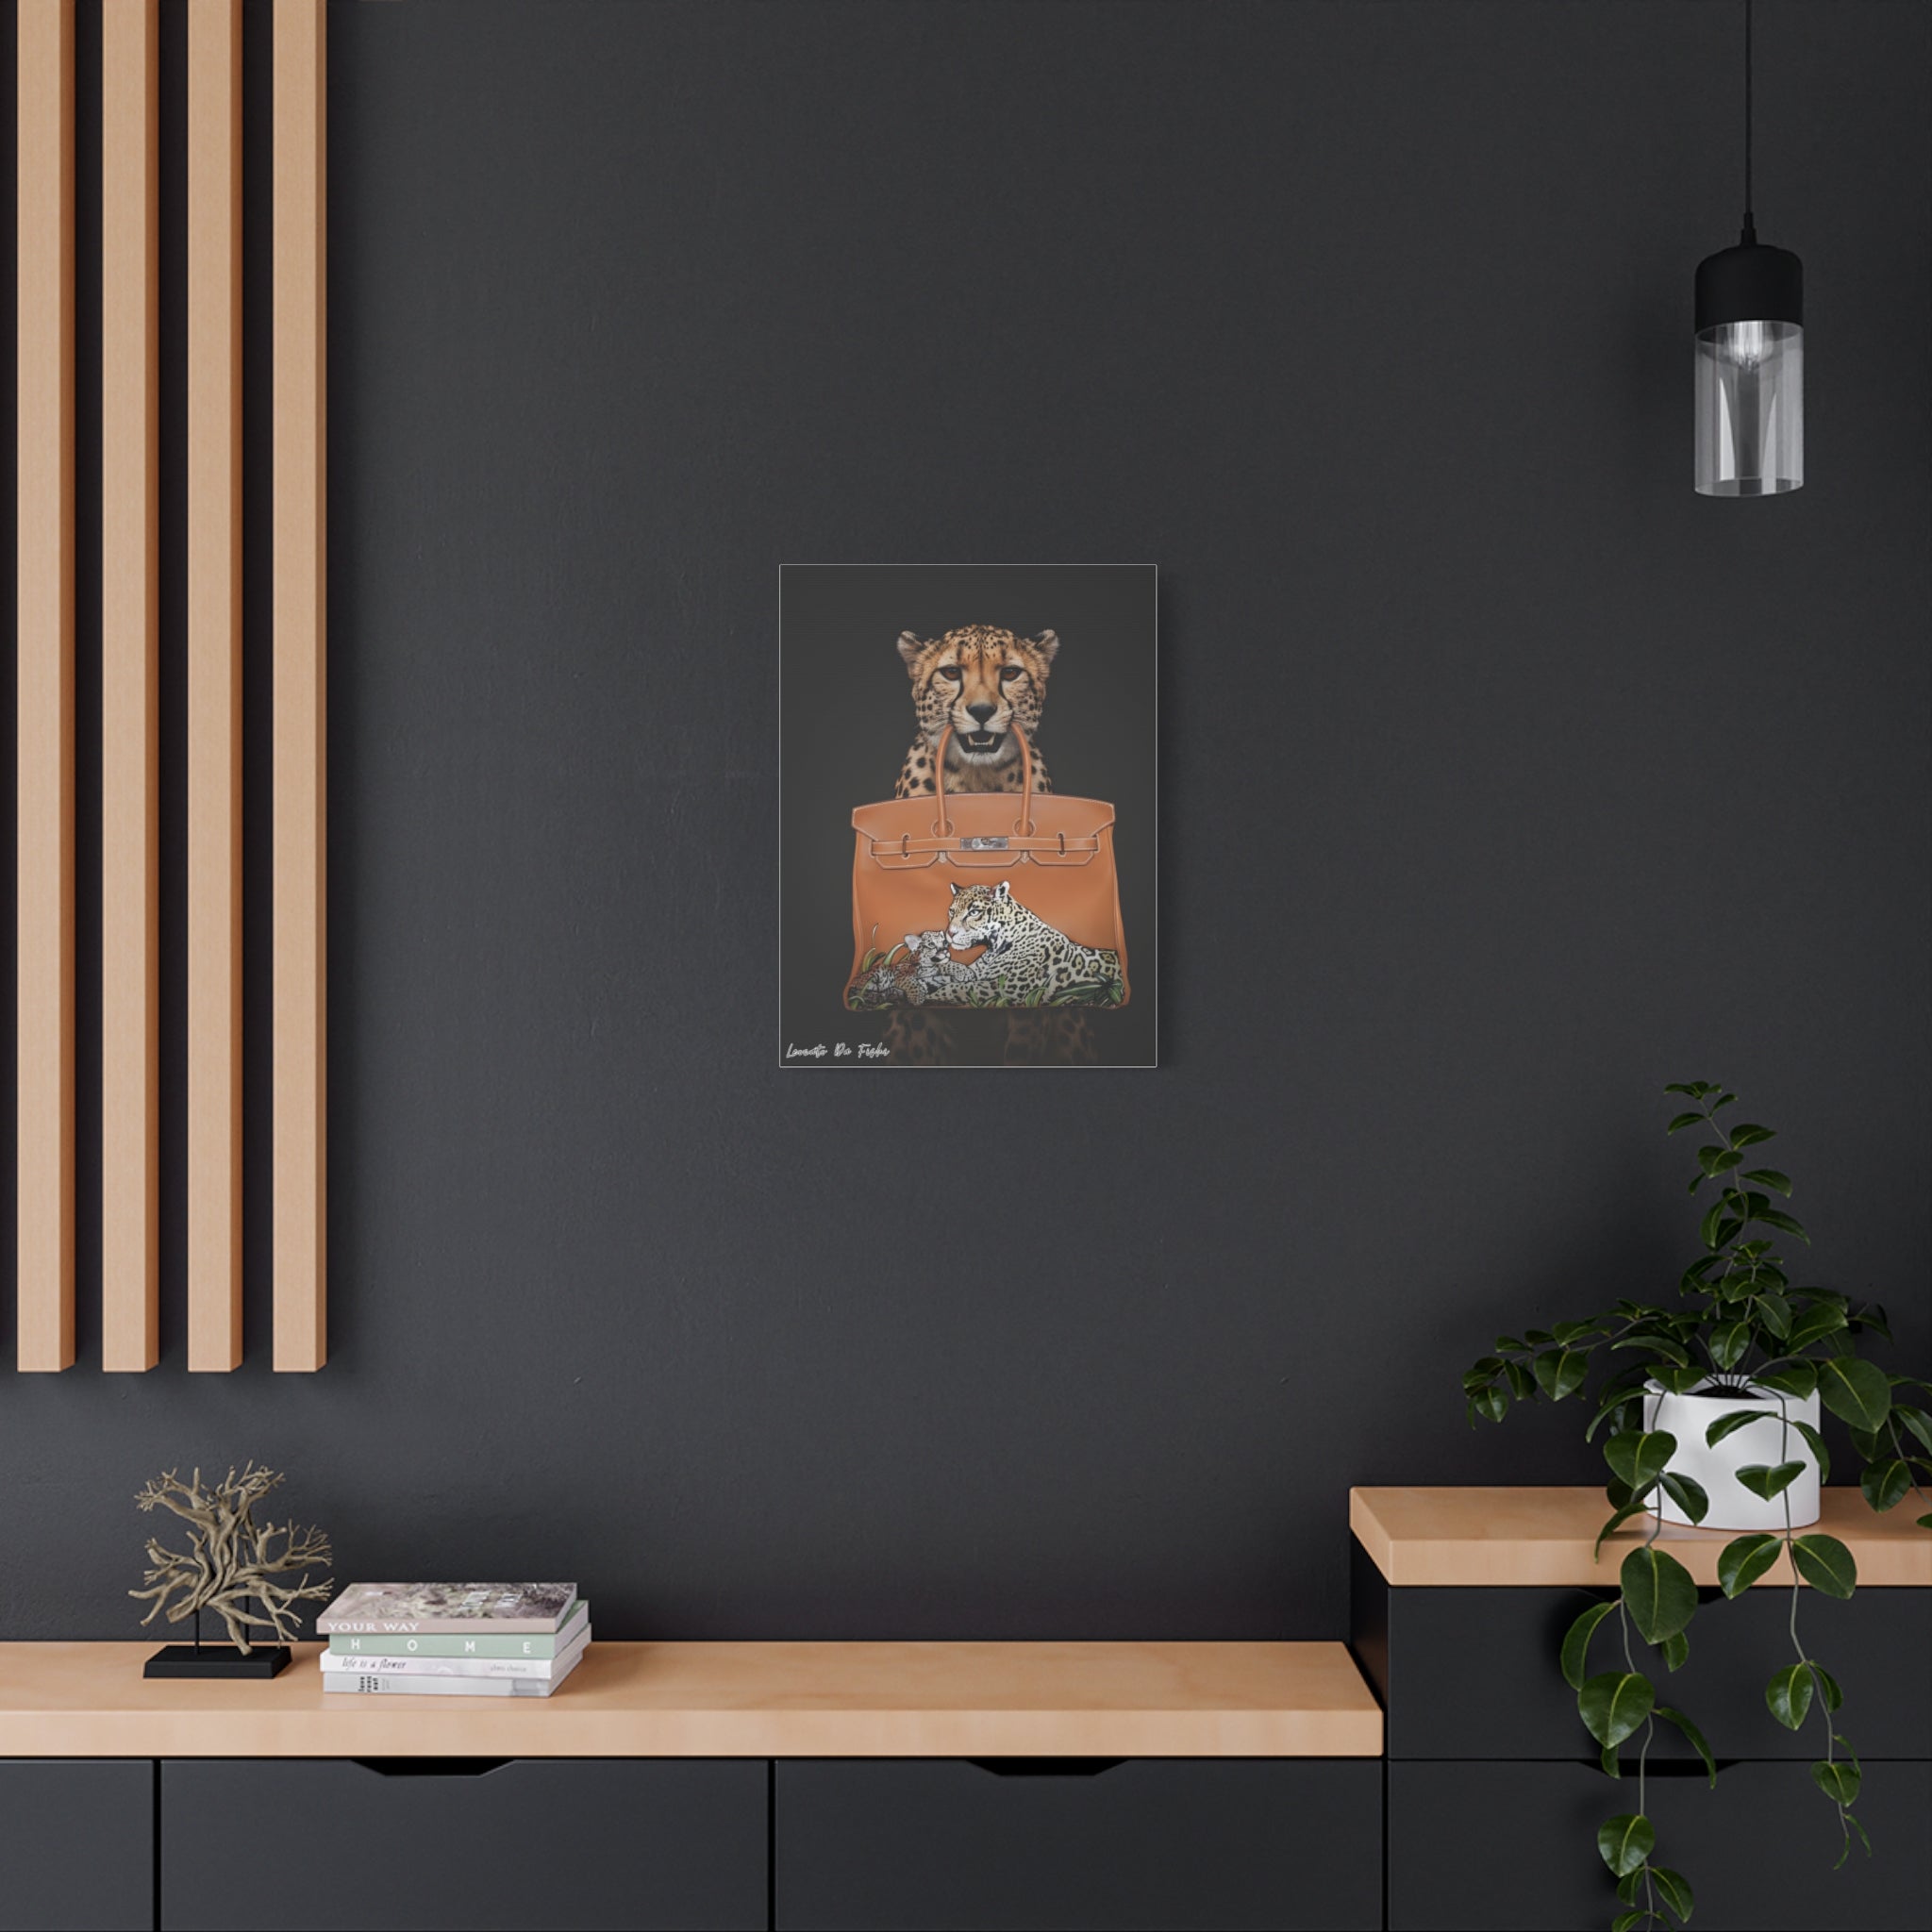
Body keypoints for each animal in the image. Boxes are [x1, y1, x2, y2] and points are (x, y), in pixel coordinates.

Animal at [945, 880, 1124, 1007]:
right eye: (952, 911)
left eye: (974, 912)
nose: (950, 933)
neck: (994, 947)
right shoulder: (975, 974)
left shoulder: (1007, 988)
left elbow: (956, 989)